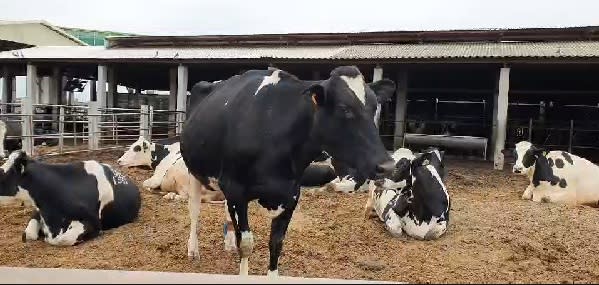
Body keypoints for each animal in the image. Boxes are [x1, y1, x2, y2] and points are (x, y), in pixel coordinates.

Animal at [183, 65, 398, 274]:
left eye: (374, 108)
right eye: (344, 108)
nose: (387, 166)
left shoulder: (290, 193)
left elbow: (276, 244)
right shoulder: (236, 189)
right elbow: (245, 244)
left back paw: (228, 243)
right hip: (193, 172)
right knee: (194, 210)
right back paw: (193, 249)